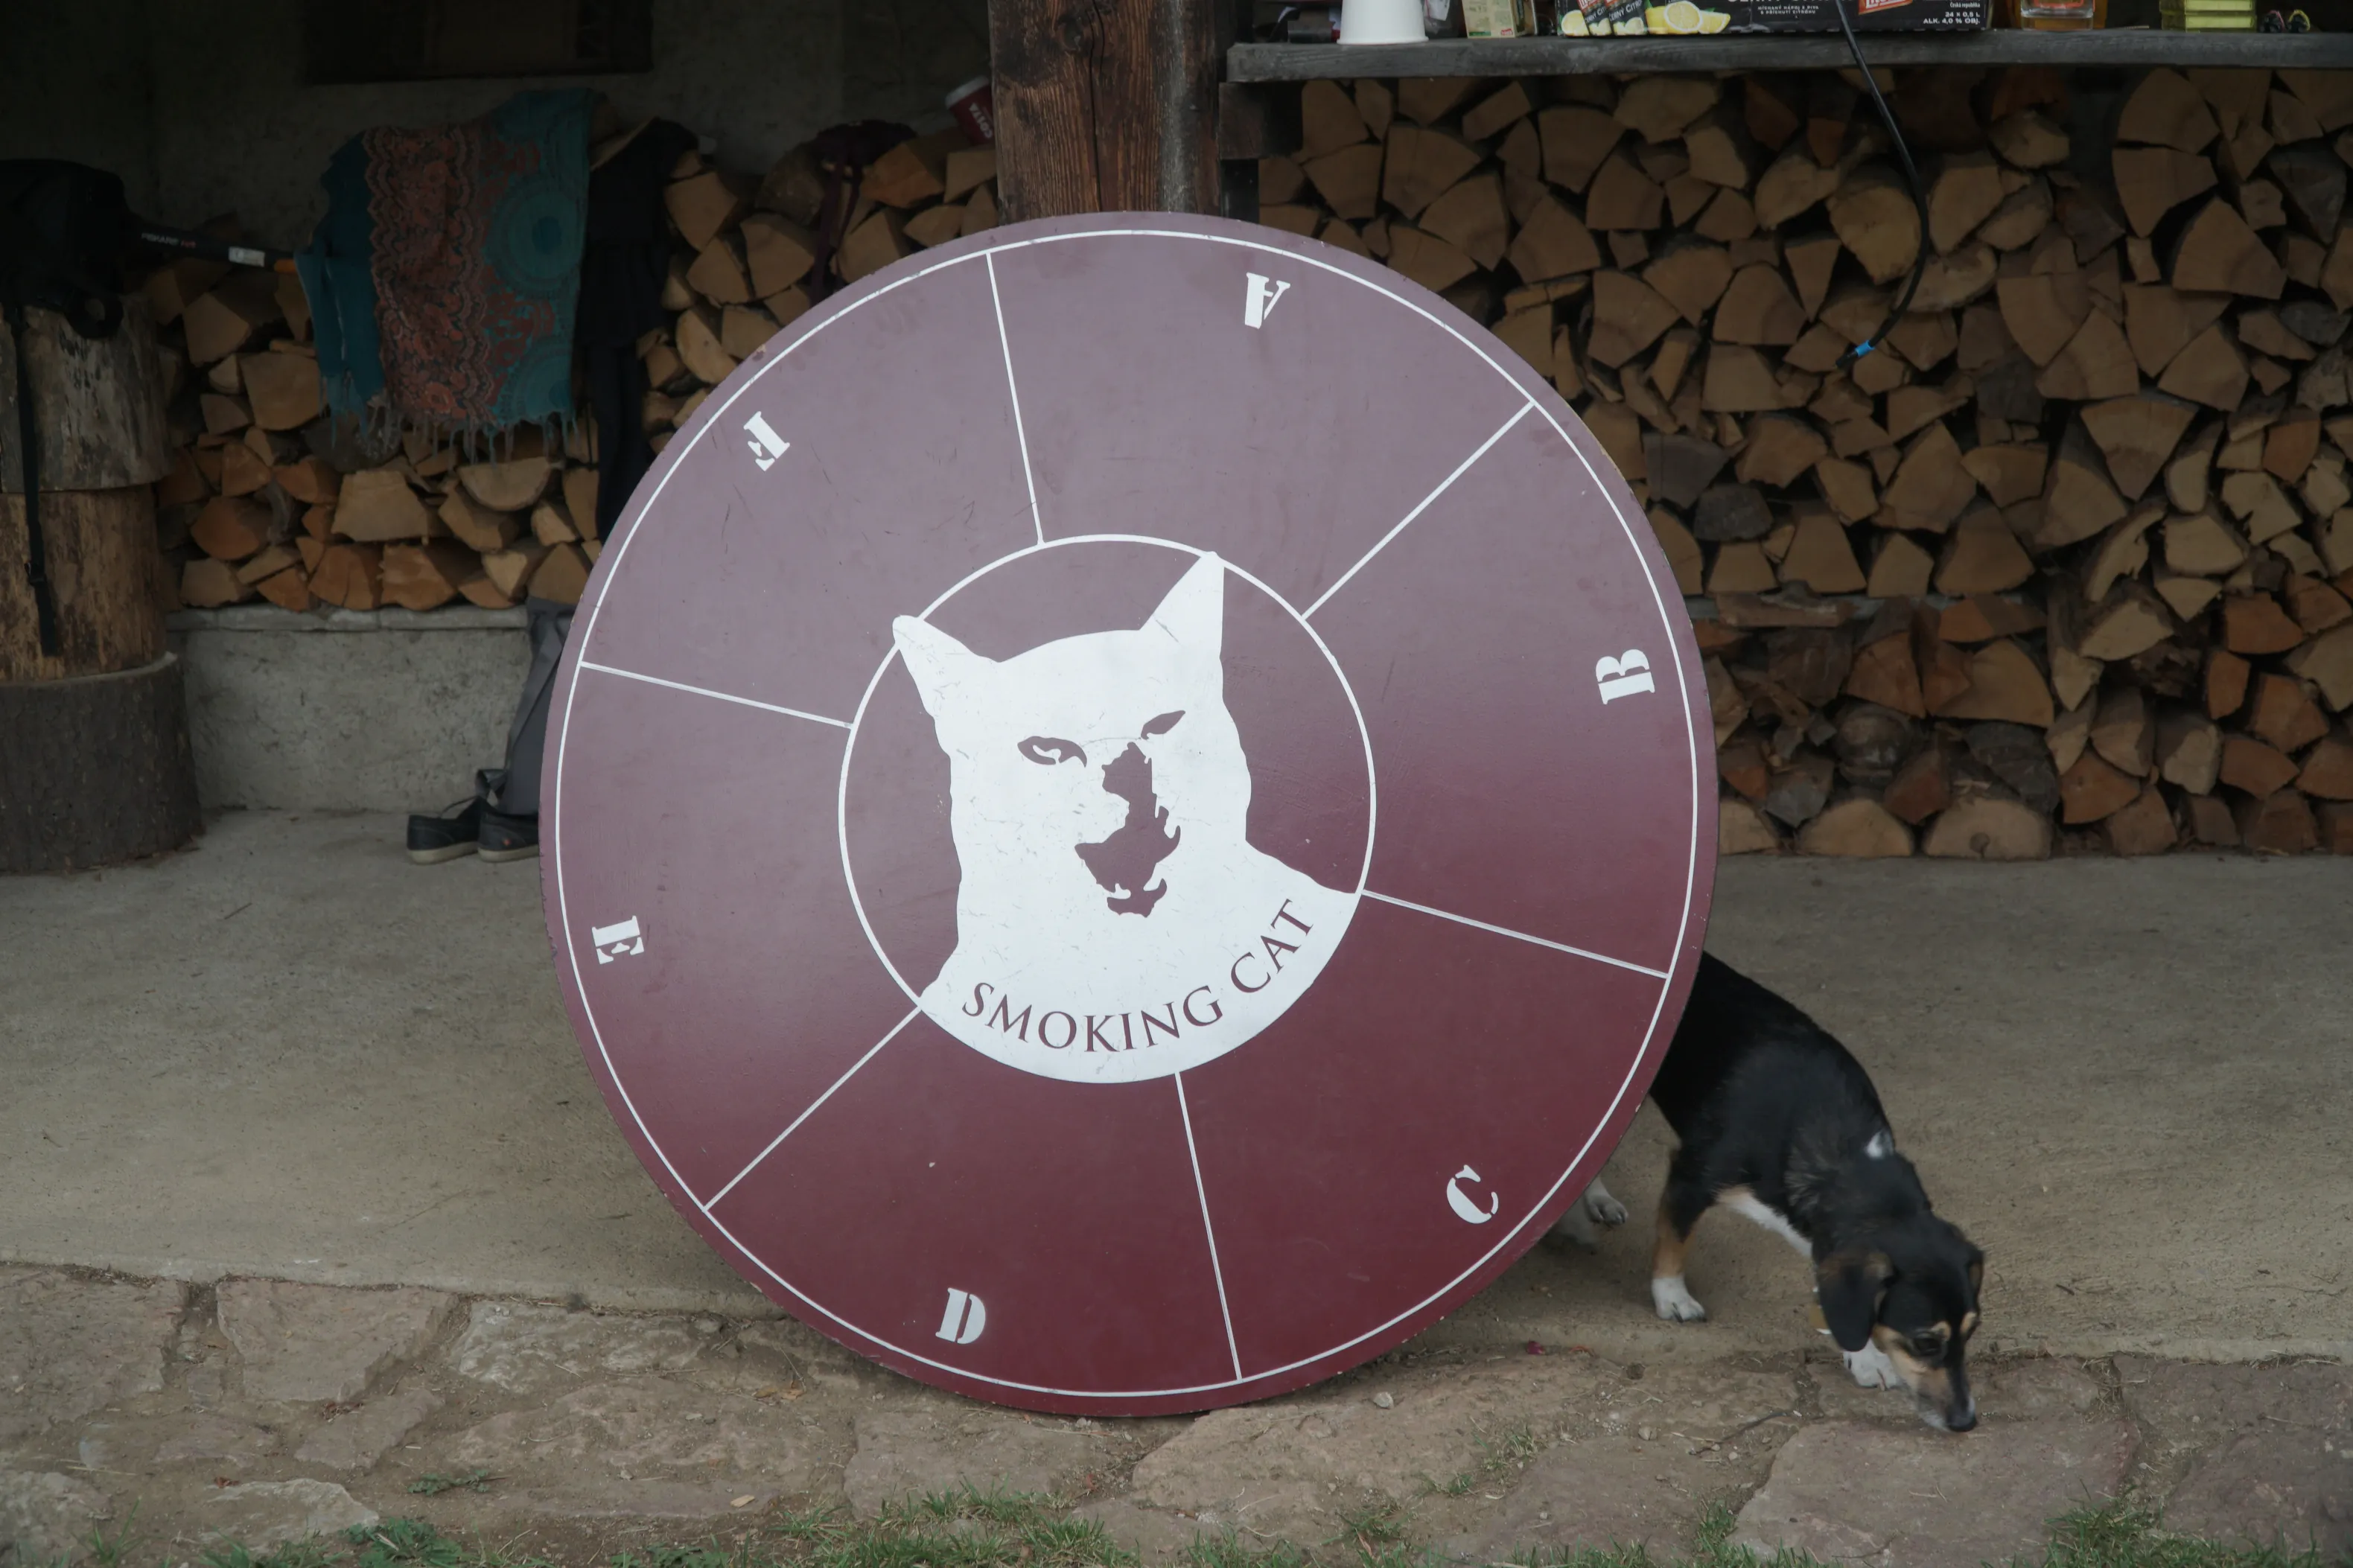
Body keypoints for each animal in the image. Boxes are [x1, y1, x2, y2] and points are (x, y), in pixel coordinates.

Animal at [1560, 953, 1984, 1432]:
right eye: (1925, 1342)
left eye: (1971, 1332)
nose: (1967, 1422)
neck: (1841, 1152)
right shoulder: (1692, 1179)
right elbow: (1673, 1243)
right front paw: (1672, 1298)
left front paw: (1863, 1357)